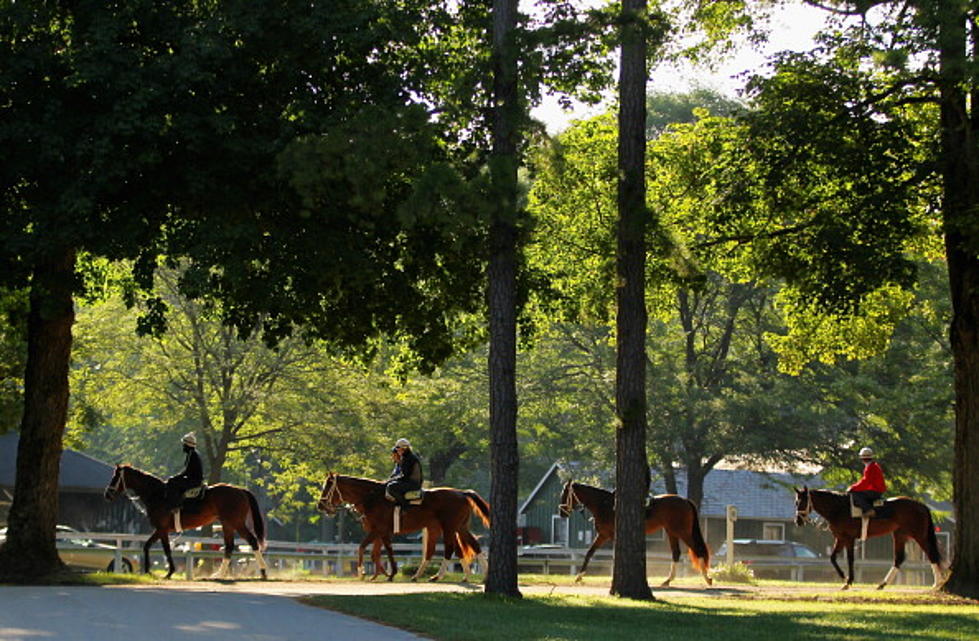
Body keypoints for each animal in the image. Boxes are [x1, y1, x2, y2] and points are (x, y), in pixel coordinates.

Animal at [103, 462, 268, 576]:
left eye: (115, 477)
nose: (107, 494)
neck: (157, 494)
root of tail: (241, 490)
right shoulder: (161, 530)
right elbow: (147, 546)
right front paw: (149, 571)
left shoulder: (161, 529)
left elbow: (165, 549)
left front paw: (169, 572)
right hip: (227, 524)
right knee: (229, 547)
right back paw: (219, 574)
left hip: (236, 523)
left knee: (252, 541)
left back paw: (263, 571)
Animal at [320, 472, 490, 584]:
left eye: (328, 487)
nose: (320, 505)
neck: (371, 498)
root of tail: (462, 493)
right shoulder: (379, 533)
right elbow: (375, 553)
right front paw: (379, 573)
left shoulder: (379, 530)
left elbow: (373, 549)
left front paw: (368, 572)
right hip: (459, 528)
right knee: (471, 546)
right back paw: (477, 575)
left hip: (448, 528)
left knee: (449, 549)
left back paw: (437, 576)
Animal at [560, 480, 712, 584]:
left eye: (565, 494)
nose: (562, 513)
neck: (605, 505)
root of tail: (685, 500)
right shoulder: (602, 535)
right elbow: (589, 552)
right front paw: (579, 576)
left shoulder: (611, 536)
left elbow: (613, 555)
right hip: (671, 532)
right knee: (676, 553)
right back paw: (668, 580)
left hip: (682, 532)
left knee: (697, 549)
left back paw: (707, 578)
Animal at [796, 484, 948, 592]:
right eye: (796, 502)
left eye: (802, 502)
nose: (798, 521)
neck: (839, 508)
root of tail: (921, 505)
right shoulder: (840, 538)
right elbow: (833, 558)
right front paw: (845, 579)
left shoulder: (848, 538)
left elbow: (850, 559)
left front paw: (848, 580)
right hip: (900, 535)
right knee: (899, 559)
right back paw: (882, 584)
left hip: (919, 536)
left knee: (931, 554)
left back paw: (937, 583)